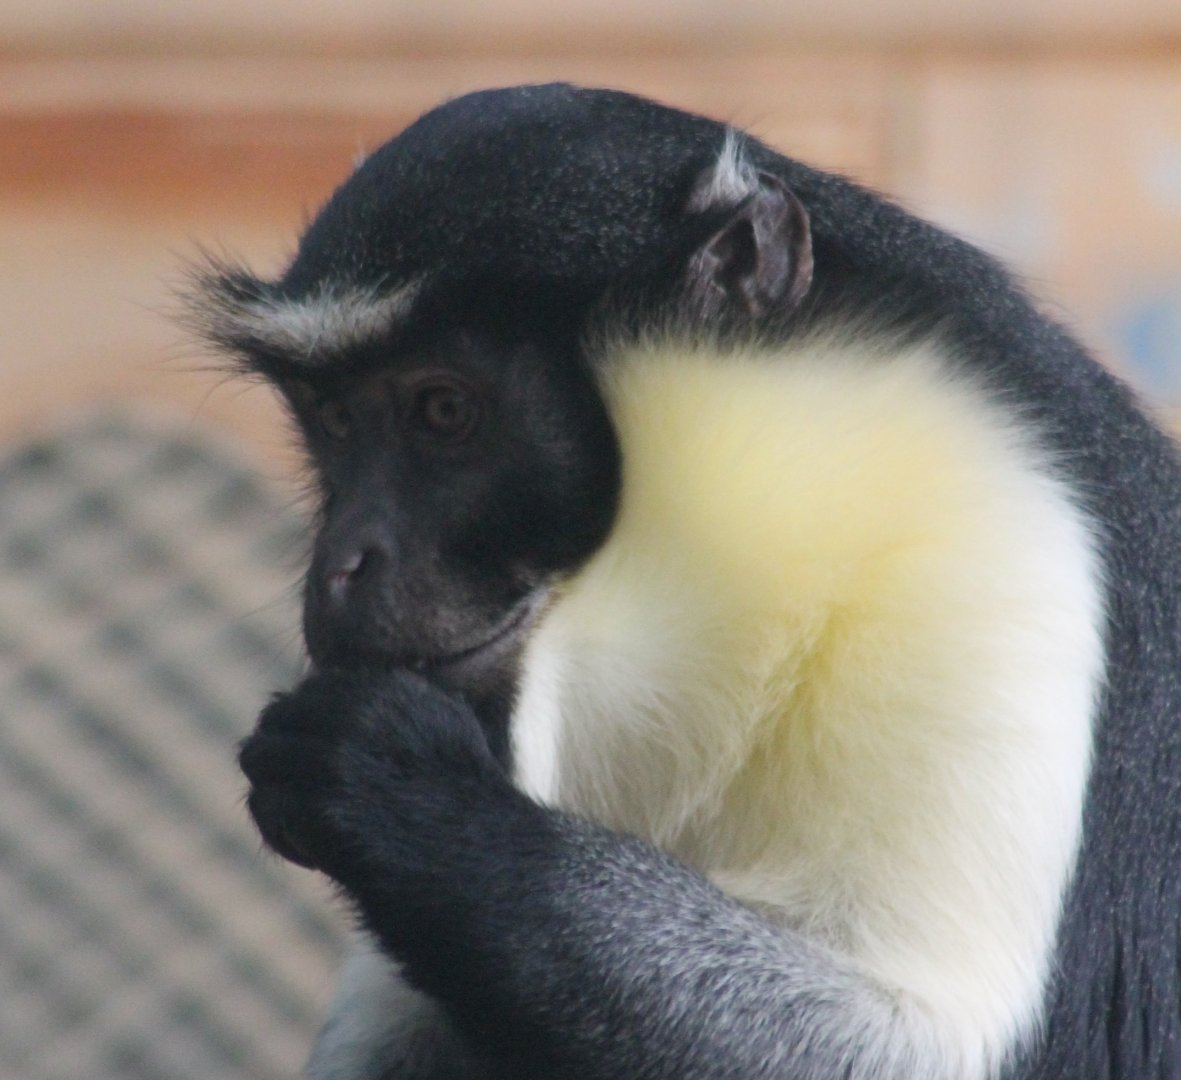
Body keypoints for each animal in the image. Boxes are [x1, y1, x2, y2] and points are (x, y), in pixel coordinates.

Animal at [185, 83, 1181, 1078]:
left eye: (443, 412)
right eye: (334, 422)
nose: (340, 562)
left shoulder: (986, 548)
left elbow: (910, 1037)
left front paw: (409, 801)